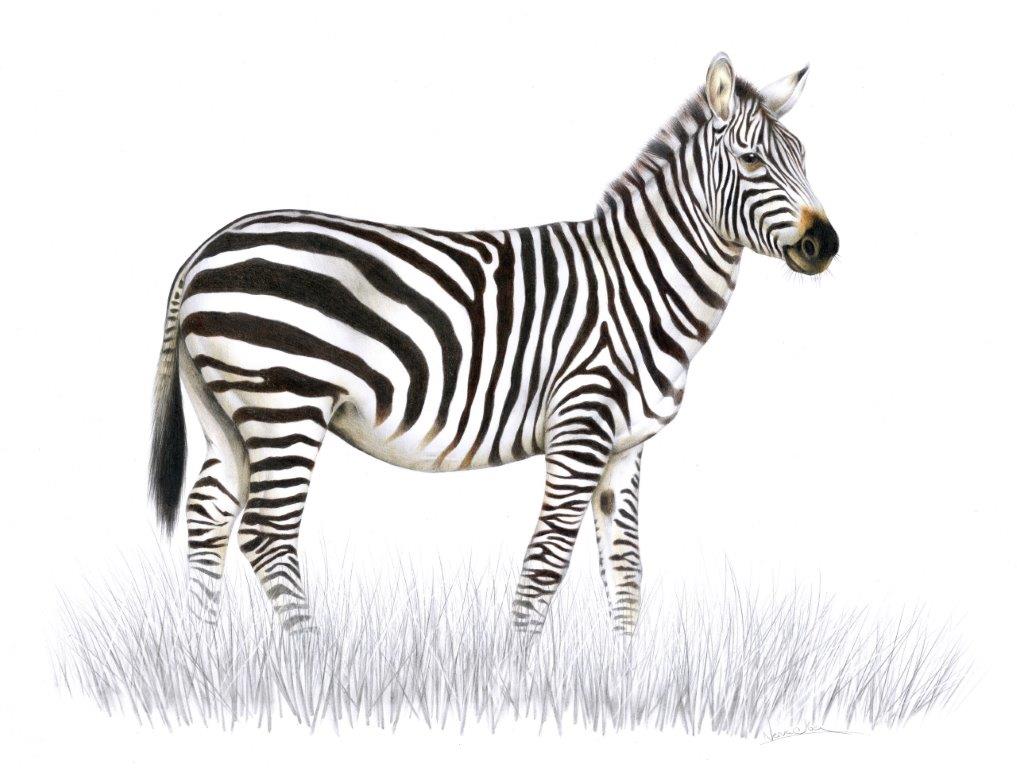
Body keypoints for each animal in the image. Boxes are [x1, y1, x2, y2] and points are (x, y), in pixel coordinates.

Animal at [149, 53, 839, 636]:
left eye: (803, 156)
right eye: (751, 162)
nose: (825, 244)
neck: (640, 283)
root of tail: (205, 249)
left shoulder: (625, 447)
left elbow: (626, 575)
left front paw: (624, 686)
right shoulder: (581, 425)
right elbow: (546, 565)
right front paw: (513, 683)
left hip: (227, 412)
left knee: (208, 517)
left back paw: (208, 658)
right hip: (285, 401)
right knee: (267, 533)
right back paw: (311, 664)